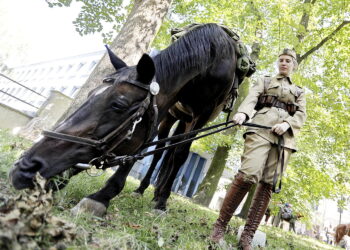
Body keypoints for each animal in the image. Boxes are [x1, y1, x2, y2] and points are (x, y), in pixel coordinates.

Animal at [10, 23, 246, 215]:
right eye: (90, 94)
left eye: (118, 105)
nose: (26, 165)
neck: (213, 59)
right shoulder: (165, 106)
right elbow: (149, 144)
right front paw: (66, 178)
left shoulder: (202, 114)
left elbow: (179, 154)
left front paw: (105, 197)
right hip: (175, 117)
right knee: (162, 152)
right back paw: (144, 189)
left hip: (188, 119)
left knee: (174, 153)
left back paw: (160, 194)